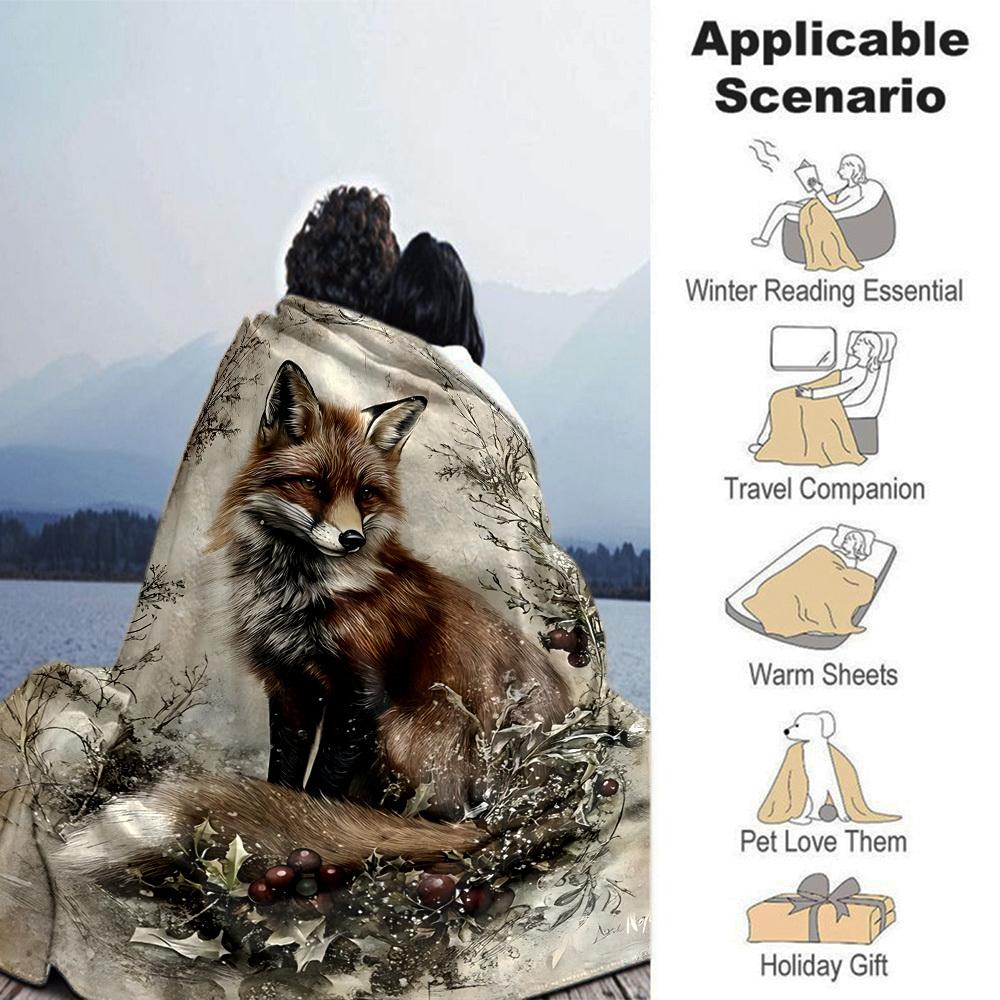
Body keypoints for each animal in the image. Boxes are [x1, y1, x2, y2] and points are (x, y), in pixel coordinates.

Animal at [64, 360, 572, 875]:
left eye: (366, 493)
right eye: (312, 484)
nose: (351, 539)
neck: (298, 597)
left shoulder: (360, 693)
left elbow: (322, 785)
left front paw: (308, 826)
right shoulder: (288, 685)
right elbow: (286, 770)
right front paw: (283, 812)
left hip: (399, 730)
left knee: (438, 817)